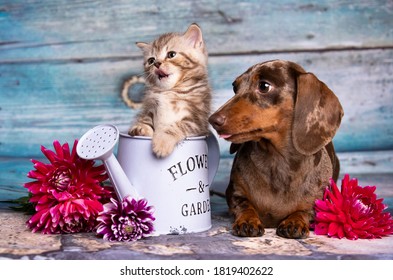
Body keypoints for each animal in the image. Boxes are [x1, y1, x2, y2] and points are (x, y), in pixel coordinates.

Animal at [129, 23, 211, 158]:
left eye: (171, 54)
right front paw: (141, 128)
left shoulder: (197, 120)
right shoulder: (150, 106)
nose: (157, 63)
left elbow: (176, 126)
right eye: (151, 60)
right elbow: (146, 118)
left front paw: (162, 143)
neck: (169, 91)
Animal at [208, 59, 344, 238]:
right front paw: (248, 220)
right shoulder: (234, 193)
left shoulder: (320, 202)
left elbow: (305, 210)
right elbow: (244, 205)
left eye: (264, 86)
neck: (277, 160)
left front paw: (295, 220)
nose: (213, 120)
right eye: (235, 87)